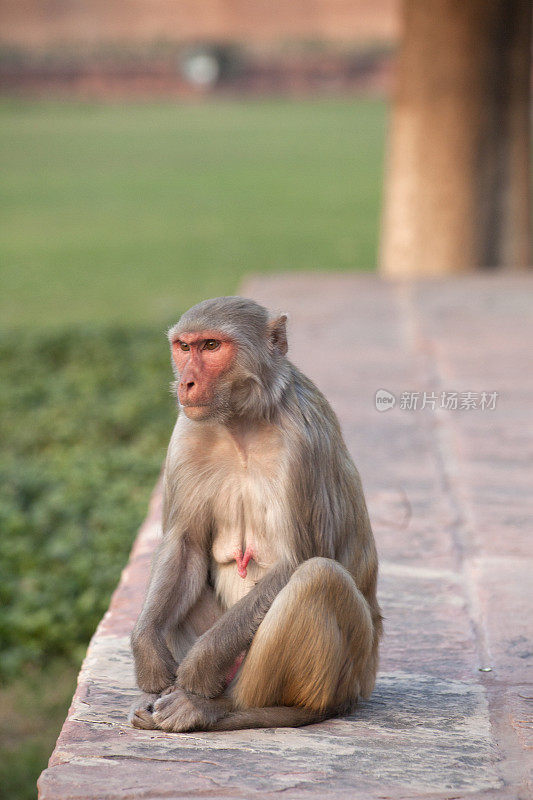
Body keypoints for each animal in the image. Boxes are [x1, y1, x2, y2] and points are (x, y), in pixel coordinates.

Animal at [129, 296, 380, 732]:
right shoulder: (187, 432)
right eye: (184, 347)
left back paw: (221, 708)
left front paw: (198, 670)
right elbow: (185, 546)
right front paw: (148, 656)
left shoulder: (301, 446)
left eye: (211, 346)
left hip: (349, 675)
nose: (186, 383)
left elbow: (295, 561)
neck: (241, 425)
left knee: (318, 577)